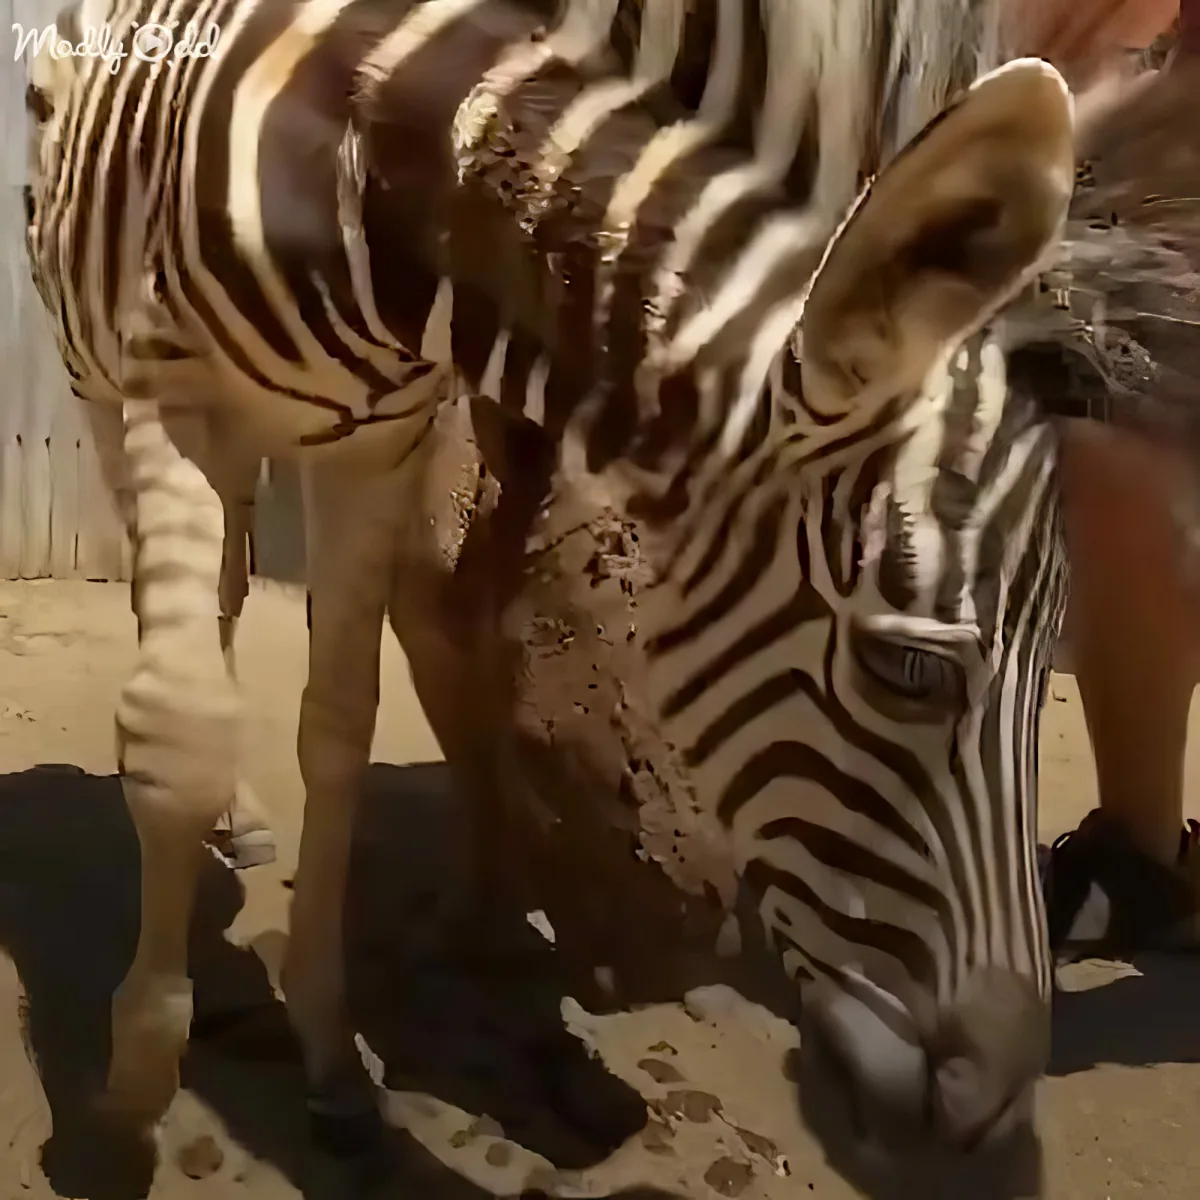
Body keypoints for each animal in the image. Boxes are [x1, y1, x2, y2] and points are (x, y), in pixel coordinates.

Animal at [22, 0, 1075, 1172]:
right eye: (907, 671)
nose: (994, 1118)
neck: (372, 184)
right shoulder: (176, 401)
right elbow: (177, 737)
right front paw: (129, 1097)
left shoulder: (378, 442)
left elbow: (339, 729)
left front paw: (332, 1062)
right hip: (104, 379)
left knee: (226, 589)